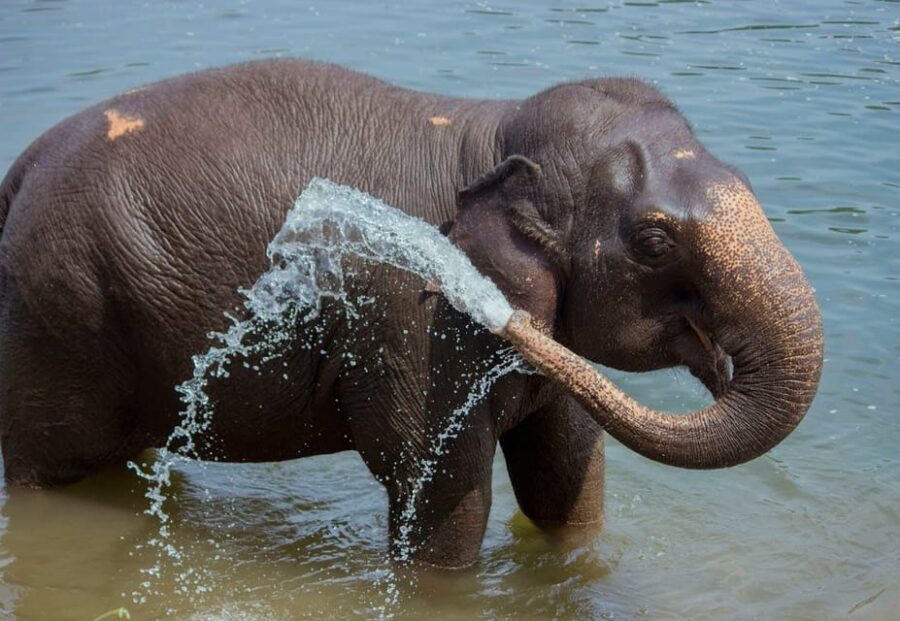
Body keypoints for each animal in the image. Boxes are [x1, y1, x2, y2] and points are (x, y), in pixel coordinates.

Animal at [0, 59, 823, 568]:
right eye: (654, 242)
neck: (490, 129)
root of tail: (18, 173)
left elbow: (567, 478)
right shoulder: (407, 323)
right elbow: (443, 502)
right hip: (58, 320)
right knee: (42, 468)